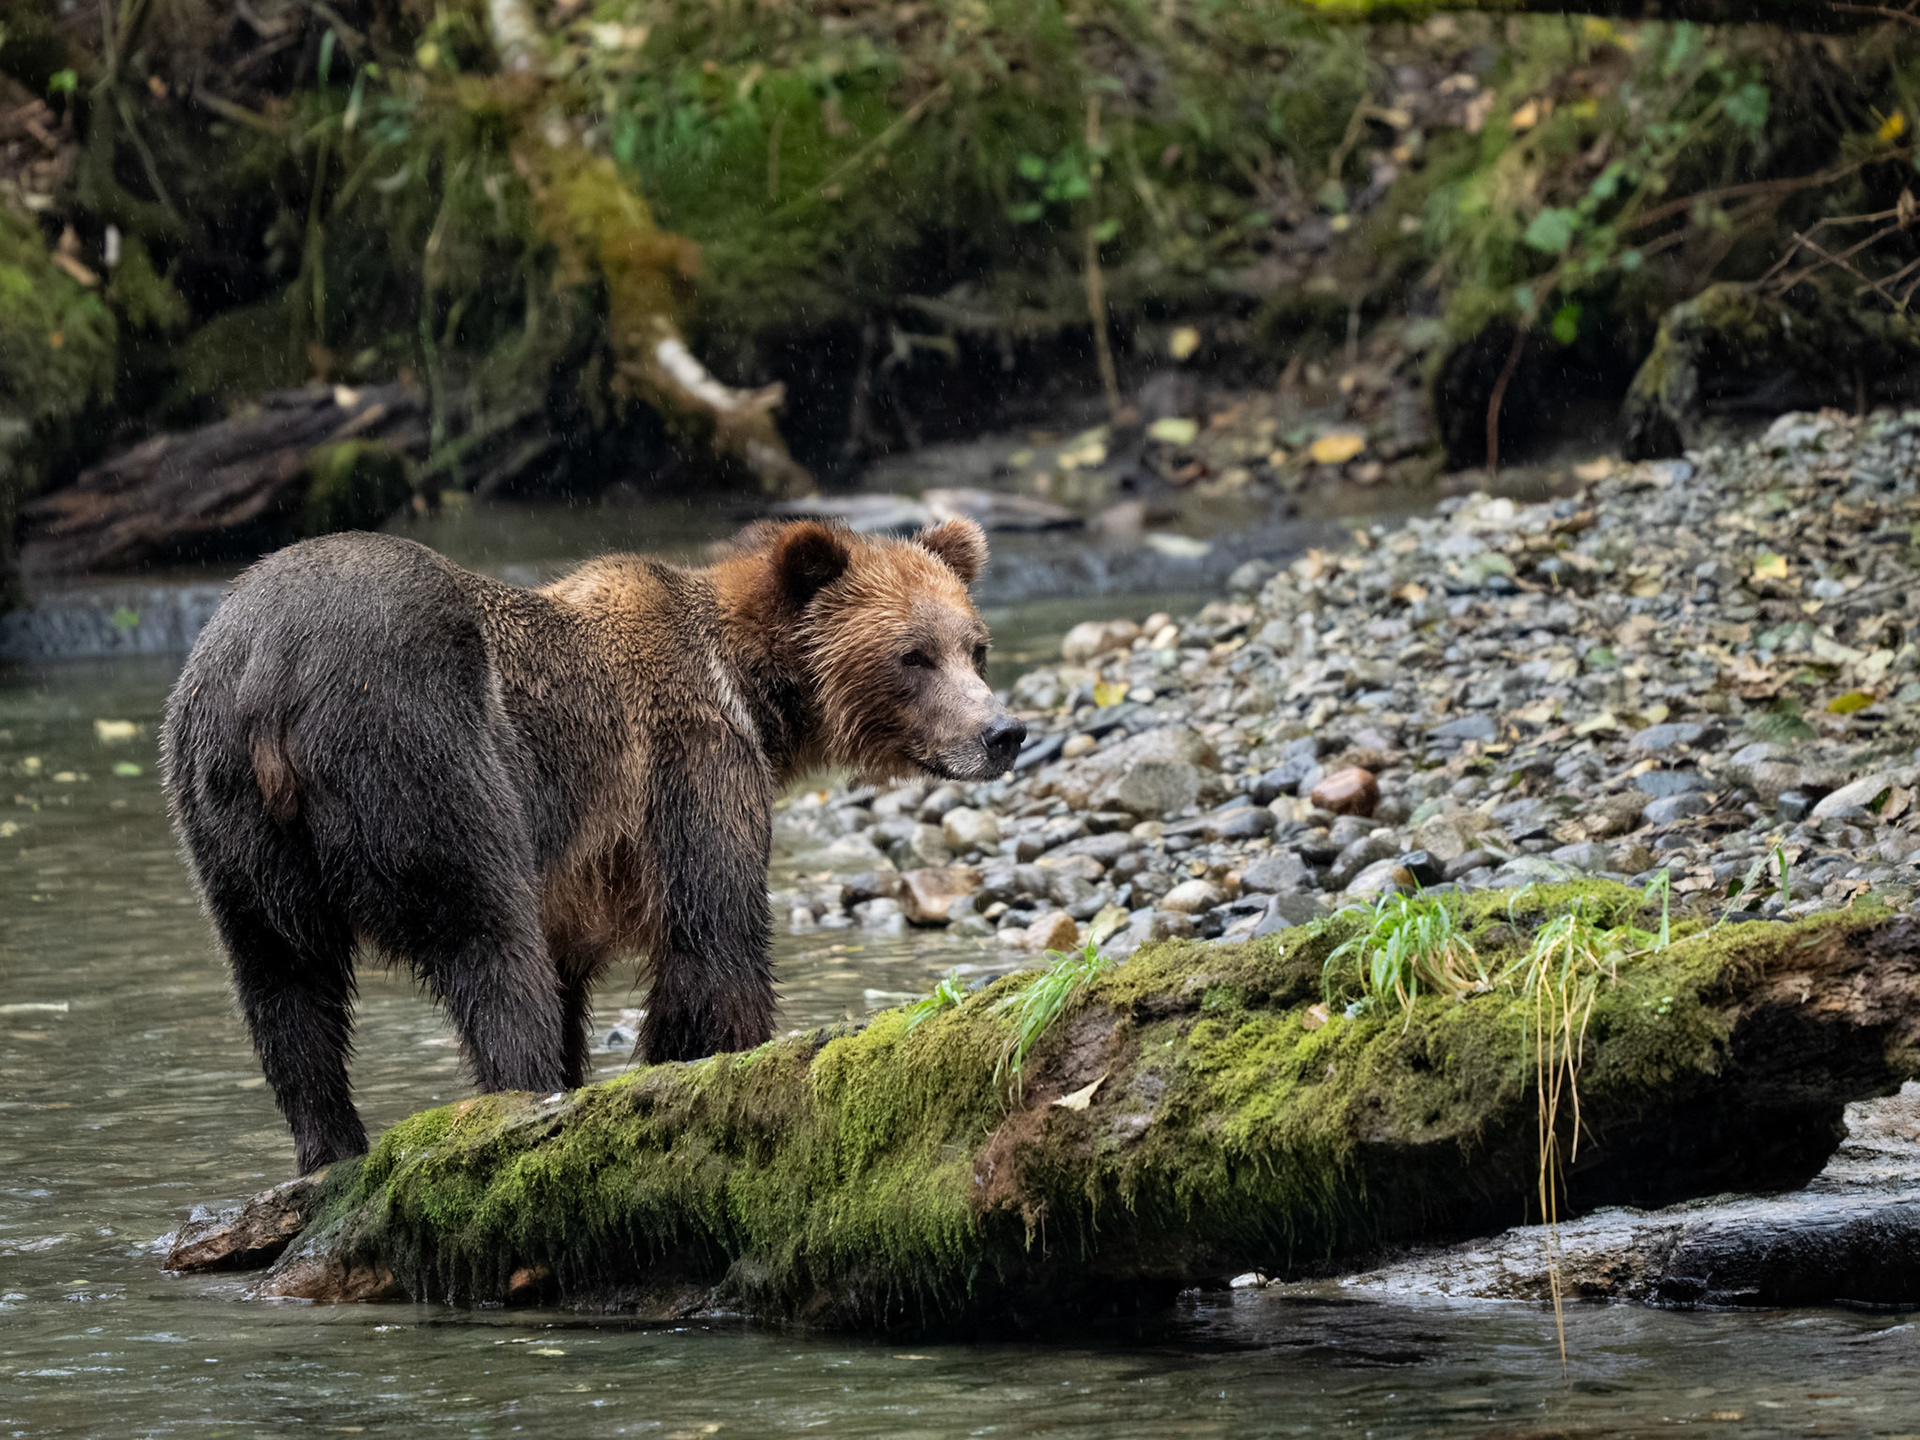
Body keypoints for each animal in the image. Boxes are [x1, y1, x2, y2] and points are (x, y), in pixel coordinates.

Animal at [159, 518, 1025, 1174]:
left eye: (975, 646)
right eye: (913, 655)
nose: (1003, 732)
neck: (755, 693)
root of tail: (272, 667)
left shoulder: (582, 874)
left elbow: (582, 973)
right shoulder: (689, 761)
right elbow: (714, 938)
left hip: (227, 816)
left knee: (284, 989)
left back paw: (331, 1149)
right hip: (422, 748)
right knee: (489, 943)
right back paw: (519, 1097)